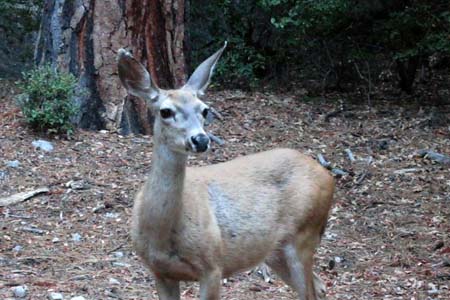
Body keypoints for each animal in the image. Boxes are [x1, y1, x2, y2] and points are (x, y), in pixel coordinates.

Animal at [118, 42, 336, 300]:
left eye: (205, 110)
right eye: (165, 111)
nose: (201, 140)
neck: (162, 234)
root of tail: (327, 175)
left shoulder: (213, 266)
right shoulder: (159, 271)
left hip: (304, 234)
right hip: (275, 250)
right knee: (319, 286)